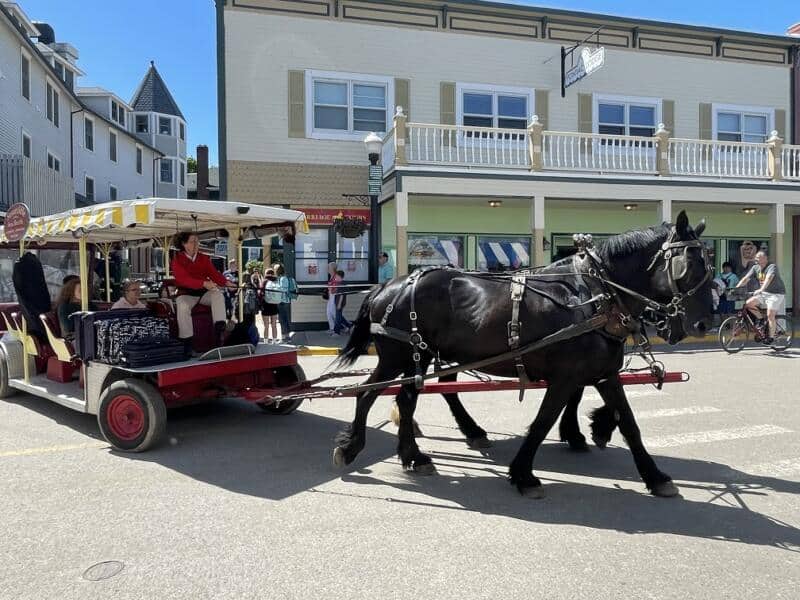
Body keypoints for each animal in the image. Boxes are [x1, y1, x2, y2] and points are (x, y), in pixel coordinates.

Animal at [334, 213, 708, 500]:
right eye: (688, 266)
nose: (700, 324)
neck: (596, 295)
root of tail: (388, 286)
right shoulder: (565, 377)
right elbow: (542, 422)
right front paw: (525, 474)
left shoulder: (604, 374)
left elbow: (630, 424)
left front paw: (654, 475)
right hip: (399, 356)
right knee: (369, 394)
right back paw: (352, 447)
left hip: (420, 357)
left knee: (410, 398)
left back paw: (416, 455)